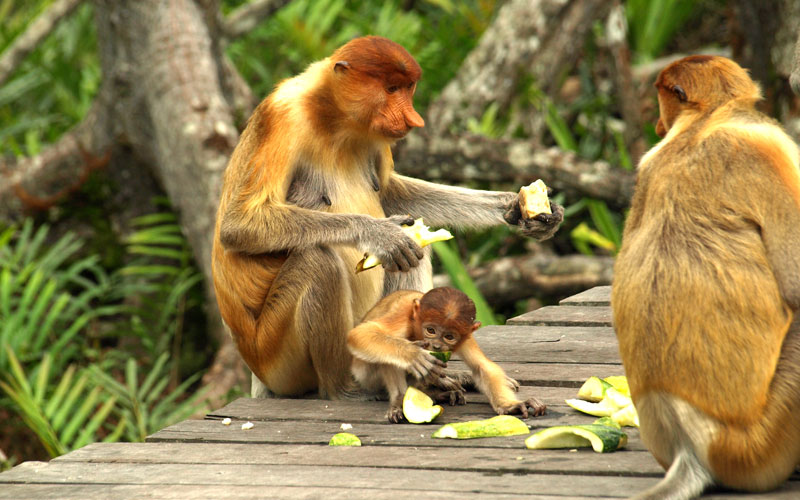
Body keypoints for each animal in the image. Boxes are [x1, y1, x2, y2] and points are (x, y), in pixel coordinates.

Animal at [211, 36, 564, 400]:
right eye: (391, 88)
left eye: (408, 89)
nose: (413, 118)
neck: (333, 117)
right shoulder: (283, 117)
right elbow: (238, 225)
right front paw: (381, 234)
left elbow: (390, 192)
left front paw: (518, 210)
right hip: (277, 358)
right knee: (318, 261)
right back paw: (346, 388)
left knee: (413, 257)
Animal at [347, 287, 546, 423]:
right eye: (431, 330)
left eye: (449, 336)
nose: (436, 345)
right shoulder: (402, 316)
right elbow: (362, 333)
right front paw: (413, 354)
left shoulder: (466, 335)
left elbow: (482, 367)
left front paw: (511, 406)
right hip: (367, 378)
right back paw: (402, 399)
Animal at [611, 55, 800, 499]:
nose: (658, 125)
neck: (703, 123)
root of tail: (689, 446)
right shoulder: (766, 146)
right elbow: (795, 283)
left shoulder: (646, 165)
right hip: (761, 444)